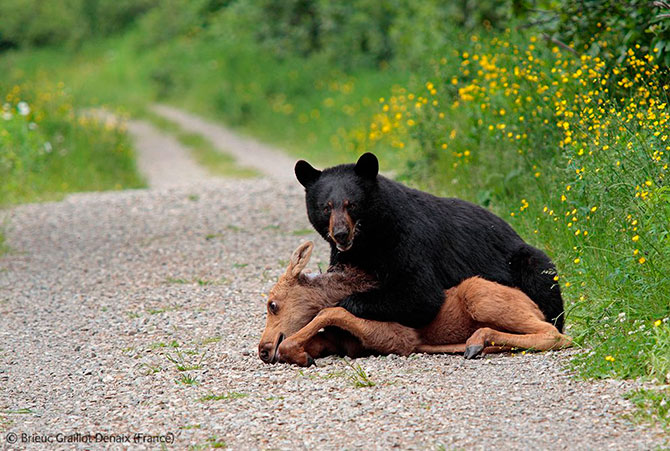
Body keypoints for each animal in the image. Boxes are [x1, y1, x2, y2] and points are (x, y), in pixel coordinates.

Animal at [296, 154, 564, 334]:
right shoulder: (345, 257)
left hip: (522, 257)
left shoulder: (407, 241)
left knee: (542, 279)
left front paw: (341, 304)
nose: (341, 234)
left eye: (351, 204)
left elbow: (420, 294)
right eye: (326, 207)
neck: (372, 238)